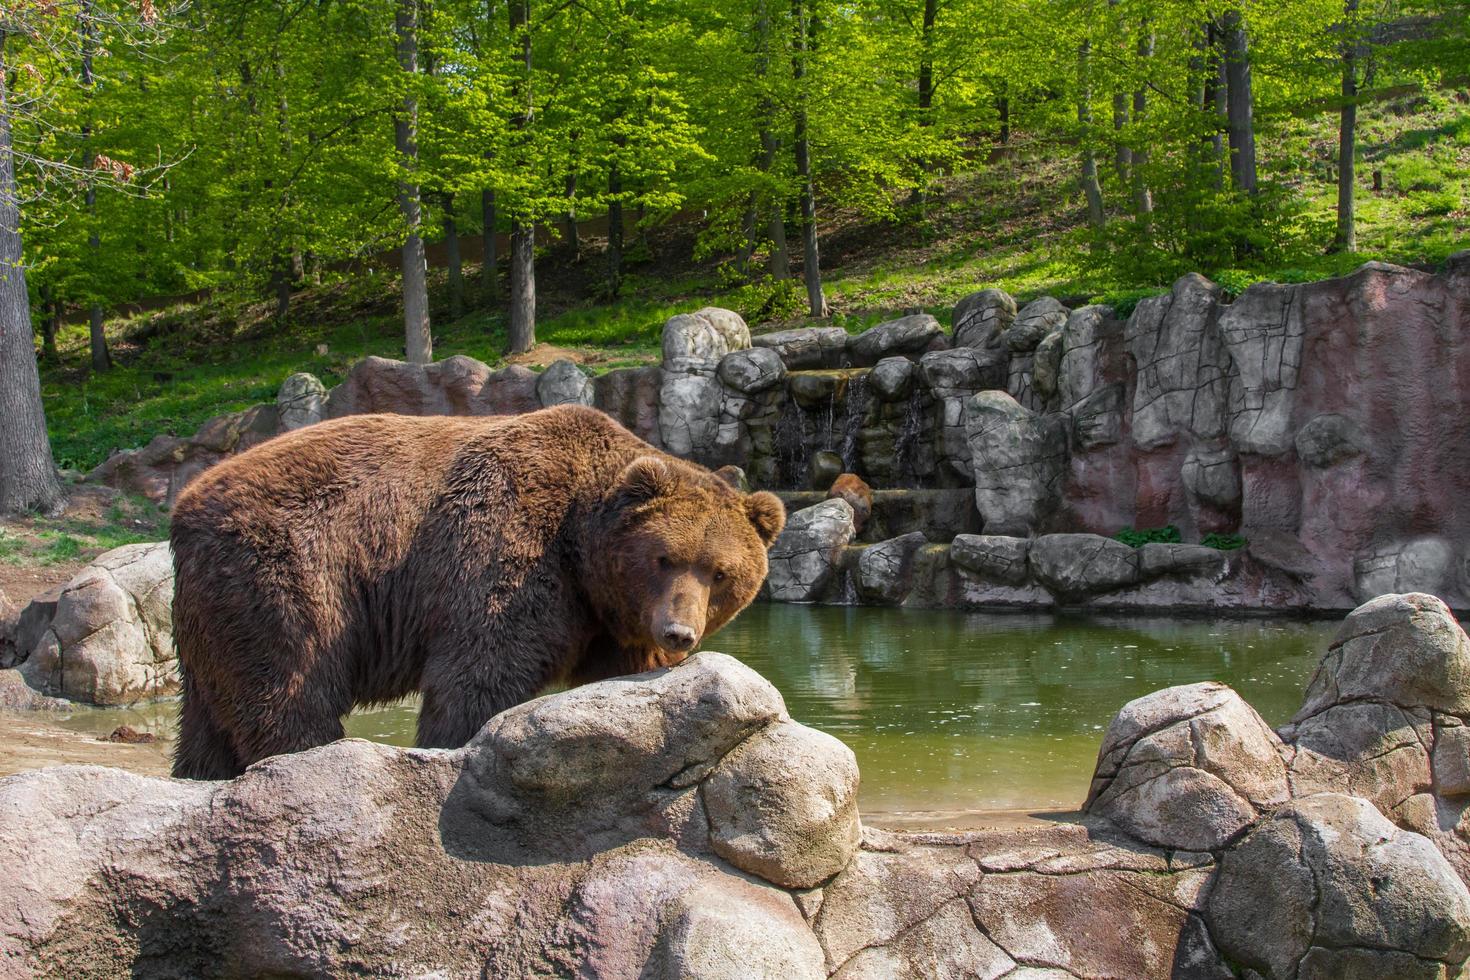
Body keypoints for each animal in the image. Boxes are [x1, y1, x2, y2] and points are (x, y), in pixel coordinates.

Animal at [168, 402, 787, 775]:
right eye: (664, 558)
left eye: (720, 572)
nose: (679, 632)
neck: (580, 548)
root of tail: (182, 509)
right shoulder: (507, 541)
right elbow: (480, 670)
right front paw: (455, 750)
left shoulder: (602, 618)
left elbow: (616, 674)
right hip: (283, 571)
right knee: (291, 683)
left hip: (212, 618)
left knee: (210, 720)